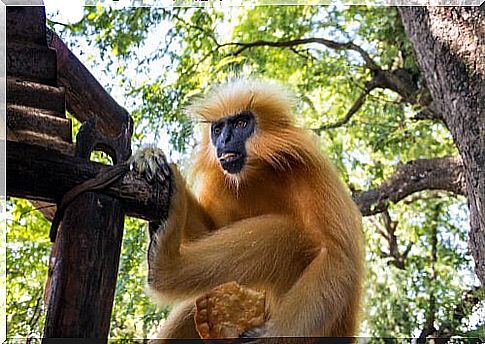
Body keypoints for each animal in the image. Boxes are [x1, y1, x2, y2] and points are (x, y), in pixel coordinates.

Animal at [132, 80, 364, 338]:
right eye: (218, 129)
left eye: (241, 124)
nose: (224, 140)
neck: (260, 172)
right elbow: (208, 232)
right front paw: (149, 156)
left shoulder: (310, 168)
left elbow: (336, 259)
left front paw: (269, 337)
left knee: (288, 233)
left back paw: (164, 265)